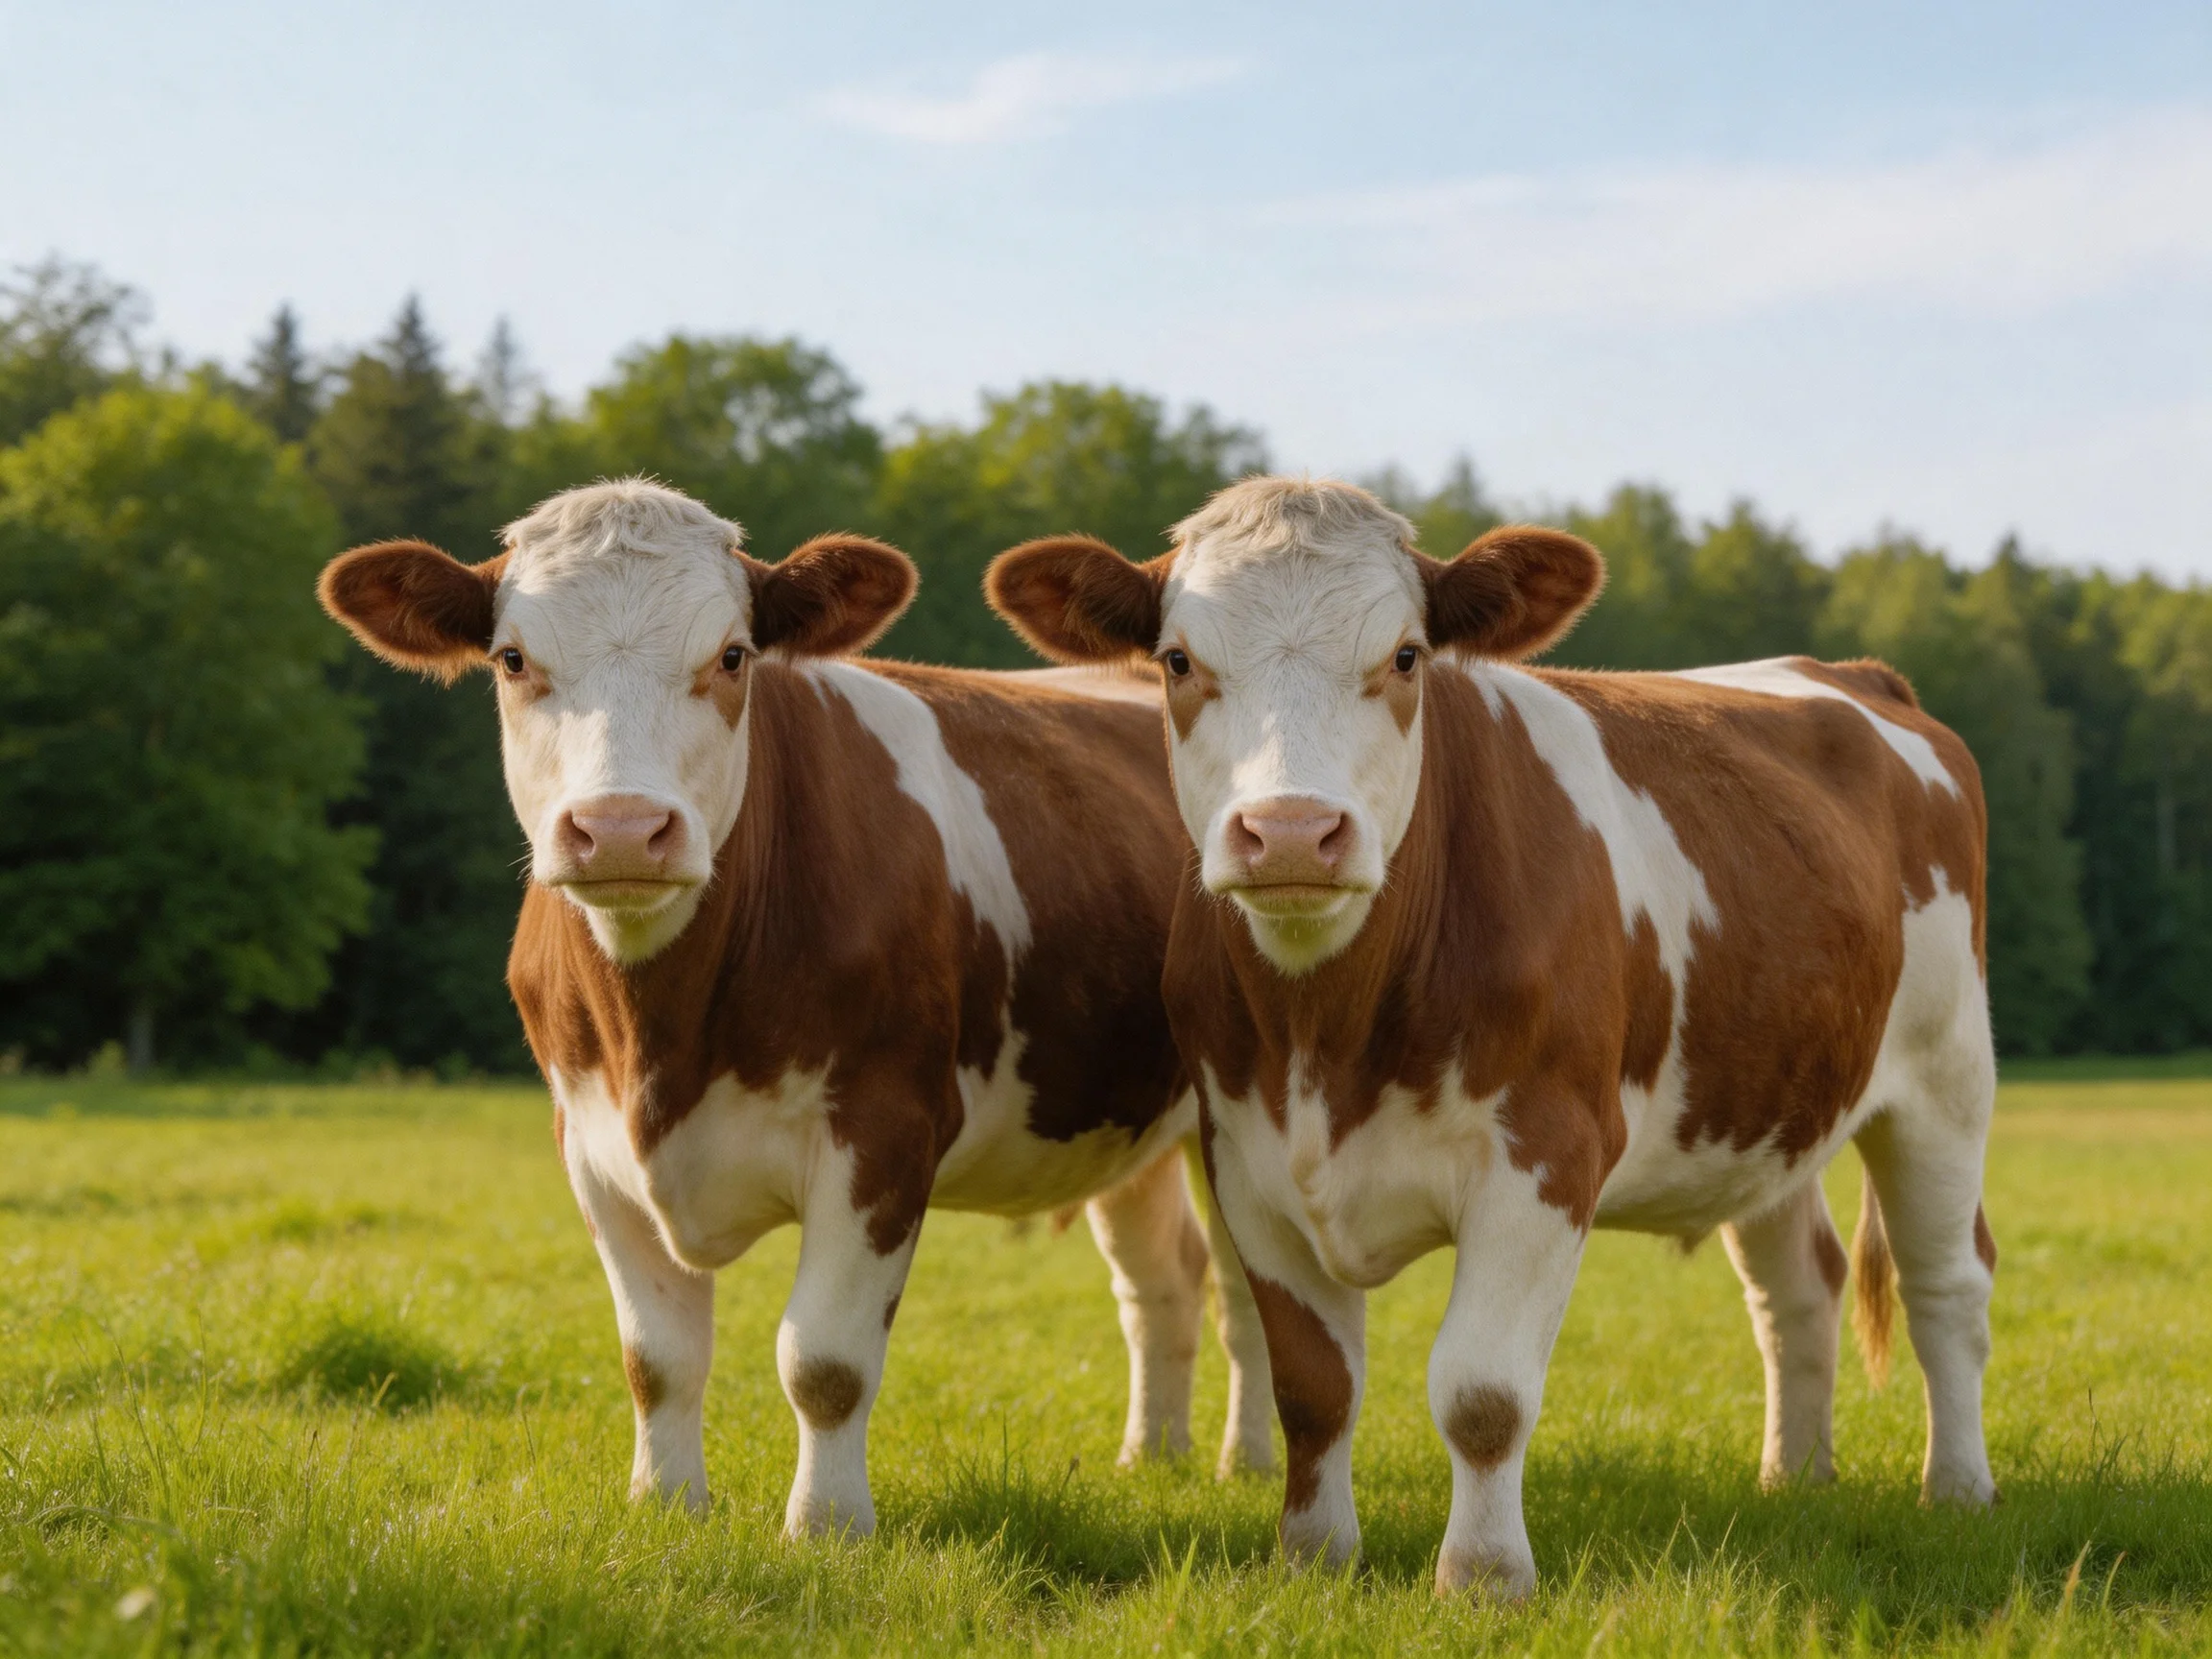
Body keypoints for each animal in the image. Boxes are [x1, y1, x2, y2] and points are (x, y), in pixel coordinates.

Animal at [316, 478, 1275, 1538]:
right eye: (512, 659)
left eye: (732, 655)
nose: (621, 828)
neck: (664, 1040)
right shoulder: (592, 1146)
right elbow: (657, 1361)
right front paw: (667, 1506)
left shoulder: (885, 1133)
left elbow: (824, 1361)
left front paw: (826, 1528)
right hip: (1119, 1115)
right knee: (1163, 1278)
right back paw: (1152, 1456)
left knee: (1246, 1295)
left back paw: (1246, 1465)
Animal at [986, 475, 1998, 1598]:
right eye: (1176, 661)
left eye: (1406, 655)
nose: (1291, 831)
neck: (1327, 1038)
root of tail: (1854, 675)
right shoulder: (1247, 1162)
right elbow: (1313, 1388)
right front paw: (1315, 1558)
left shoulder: (1545, 1156)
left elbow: (1481, 1392)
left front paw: (1482, 1578)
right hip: (1762, 1097)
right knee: (1799, 1287)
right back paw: (1796, 1476)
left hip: (1946, 1078)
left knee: (1948, 1284)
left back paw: (1957, 1489)